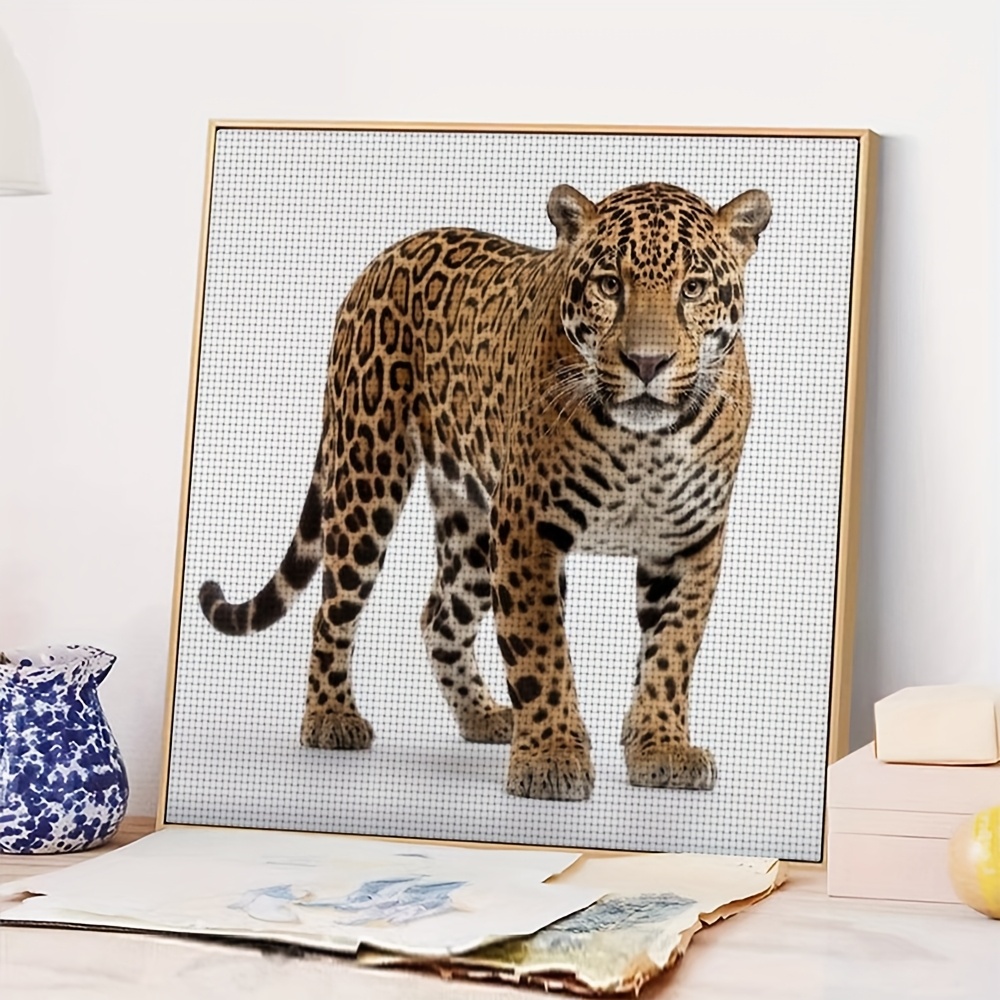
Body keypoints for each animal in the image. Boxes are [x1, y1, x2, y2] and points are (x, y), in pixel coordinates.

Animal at [199, 180, 771, 802]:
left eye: (693, 288)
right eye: (609, 284)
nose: (647, 363)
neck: (644, 445)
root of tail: (389, 253)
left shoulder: (689, 540)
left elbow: (671, 652)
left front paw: (660, 747)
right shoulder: (528, 527)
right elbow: (540, 649)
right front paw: (551, 757)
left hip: (473, 523)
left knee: (438, 618)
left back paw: (484, 716)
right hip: (367, 472)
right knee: (333, 610)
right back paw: (331, 717)